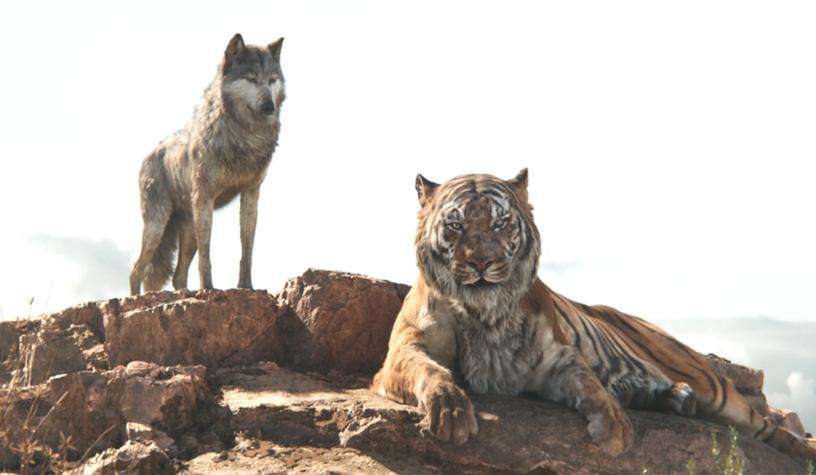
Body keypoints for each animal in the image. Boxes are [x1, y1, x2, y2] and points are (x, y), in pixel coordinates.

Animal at [371, 168, 816, 459]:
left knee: (773, 428)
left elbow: (589, 383)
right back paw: (674, 399)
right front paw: (450, 411)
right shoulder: (404, 351)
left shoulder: (556, 358)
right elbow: (433, 372)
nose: (481, 262)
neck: (485, 314)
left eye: (500, 225)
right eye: (456, 226)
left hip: (715, 388)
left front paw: (615, 428)